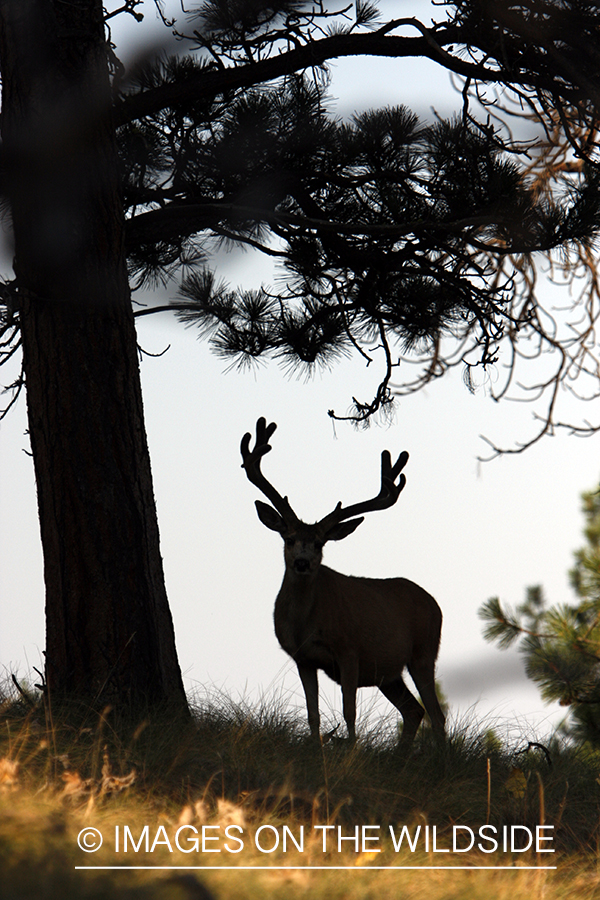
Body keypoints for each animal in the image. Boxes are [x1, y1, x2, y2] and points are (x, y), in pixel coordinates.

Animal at [240, 417, 445, 747]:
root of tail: (434, 602)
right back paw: (402, 754)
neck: (305, 624)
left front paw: (351, 751)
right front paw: (317, 748)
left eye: (320, 543)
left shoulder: (349, 650)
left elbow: (350, 711)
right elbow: (313, 713)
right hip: (388, 673)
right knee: (414, 710)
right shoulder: (303, 658)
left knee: (436, 714)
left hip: (424, 650)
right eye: (289, 539)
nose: (302, 563)